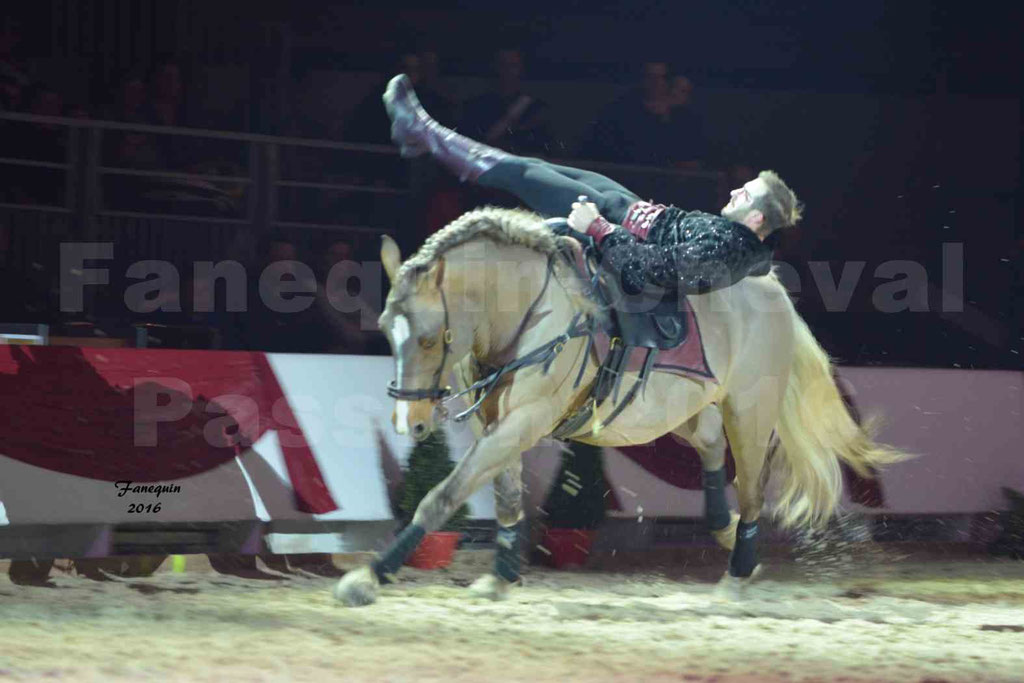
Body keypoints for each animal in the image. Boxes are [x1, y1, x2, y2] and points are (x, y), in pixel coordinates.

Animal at [333, 205, 905, 606]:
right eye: (385, 328)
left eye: (430, 338)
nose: (409, 421)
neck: (533, 310)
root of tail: (773, 292)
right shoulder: (496, 424)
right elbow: (507, 498)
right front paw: (501, 577)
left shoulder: (524, 421)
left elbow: (442, 496)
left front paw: (368, 576)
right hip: (681, 409)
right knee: (710, 445)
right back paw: (722, 530)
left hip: (750, 410)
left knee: (752, 492)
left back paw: (738, 571)